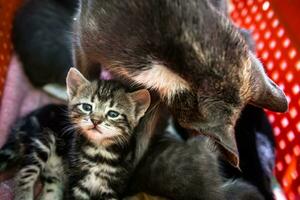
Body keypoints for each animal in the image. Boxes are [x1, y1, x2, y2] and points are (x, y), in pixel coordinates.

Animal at [0, 68, 150, 199]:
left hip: (54, 177)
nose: (95, 121)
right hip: (43, 139)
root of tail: (24, 121)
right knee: (24, 173)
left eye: (113, 114)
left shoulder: (113, 186)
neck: (98, 152)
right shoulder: (77, 183)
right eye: (87, 107)